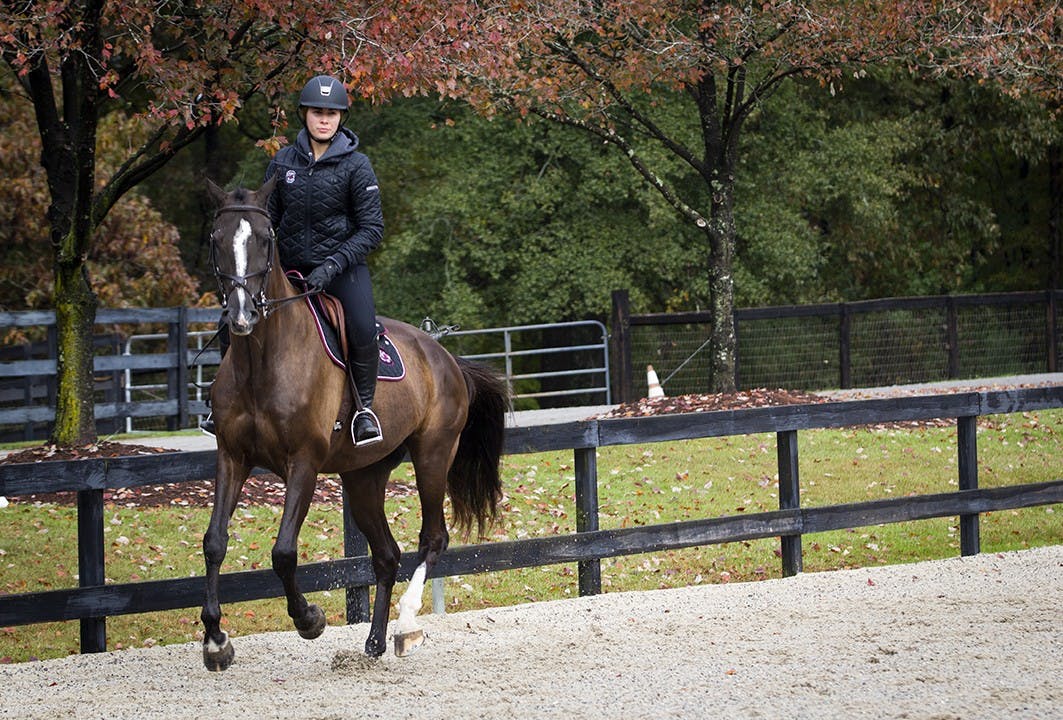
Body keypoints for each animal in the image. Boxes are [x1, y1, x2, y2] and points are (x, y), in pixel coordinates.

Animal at [199, 176, 508, 671]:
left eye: (265, 240)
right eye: (216, 239)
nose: (243, 314)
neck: (263, 361)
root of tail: (445, 357)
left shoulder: (303, 463)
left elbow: (284, 553)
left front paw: (308, 619)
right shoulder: (232, 456)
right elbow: (214, 542)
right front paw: (215, 640)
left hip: (433, 456)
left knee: (433, 539)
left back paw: (405, 625)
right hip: (364, 477)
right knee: (386, 556)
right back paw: (375, 642)